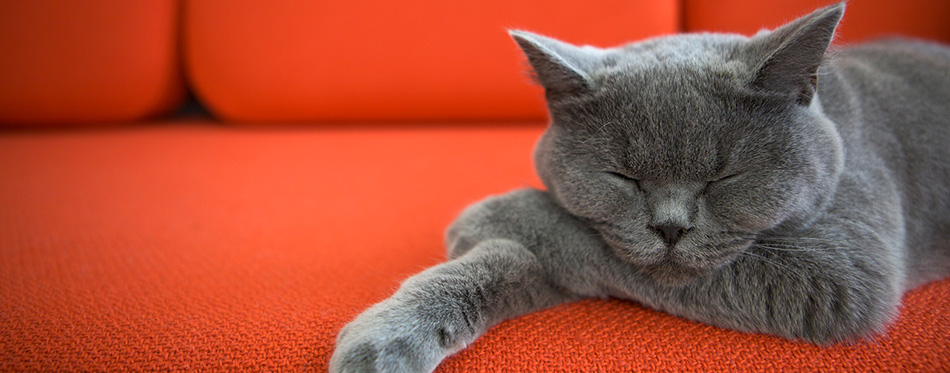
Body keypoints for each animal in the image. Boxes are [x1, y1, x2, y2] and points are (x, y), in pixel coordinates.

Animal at [330, 3, 950, 372]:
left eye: (724, 177)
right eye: (623, 177)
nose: (670, 227)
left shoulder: (843, 273)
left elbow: (578, 239)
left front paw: (490, 214)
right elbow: (513, 262)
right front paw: (385, 342)